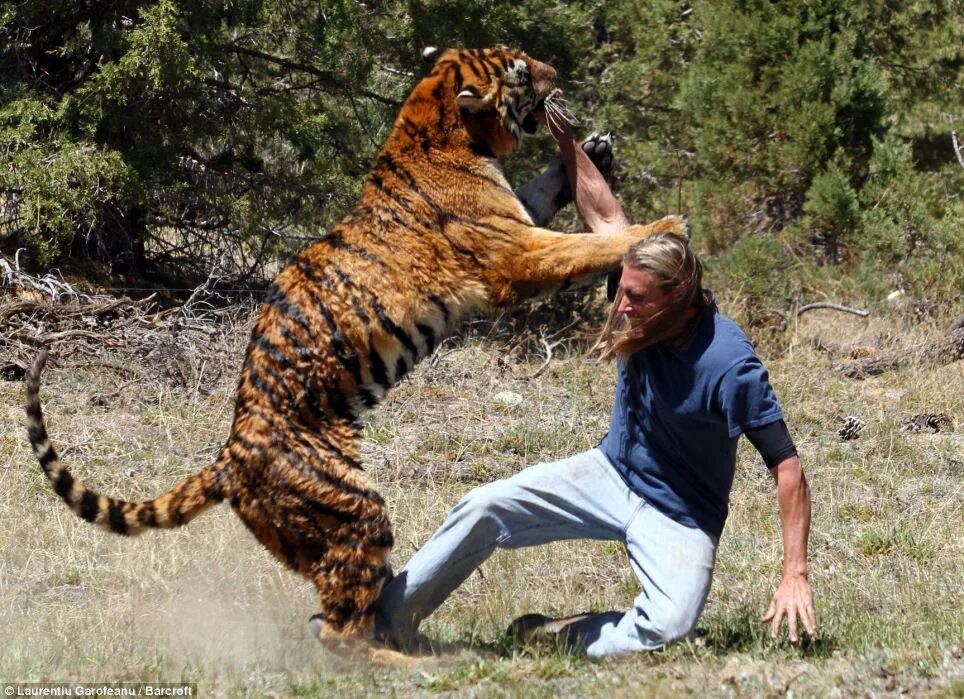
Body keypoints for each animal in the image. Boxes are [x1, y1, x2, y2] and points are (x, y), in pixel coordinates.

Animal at [22, 46, 684, 648]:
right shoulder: (513, 254)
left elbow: (545, 192)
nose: (556, 76)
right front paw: (662, 227)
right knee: (340, 631)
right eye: (521, 71)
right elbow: (585, 248)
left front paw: (593, 152)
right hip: (354, 510)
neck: (438, 128)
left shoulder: (517, 220)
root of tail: (230, 458)